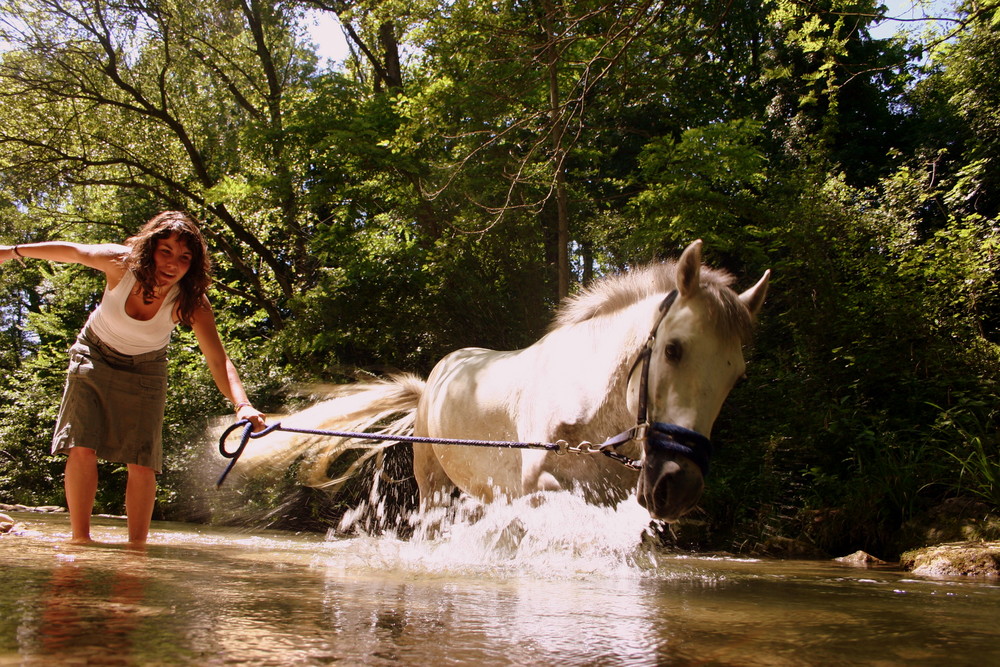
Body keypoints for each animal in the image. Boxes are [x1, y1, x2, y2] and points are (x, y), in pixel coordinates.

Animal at [238, 243, 768, 524]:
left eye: (737, 374)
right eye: (673, 349)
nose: (680, 486)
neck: (588, 408)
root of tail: (431, 382)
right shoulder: (538, 487)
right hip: (431, 482)